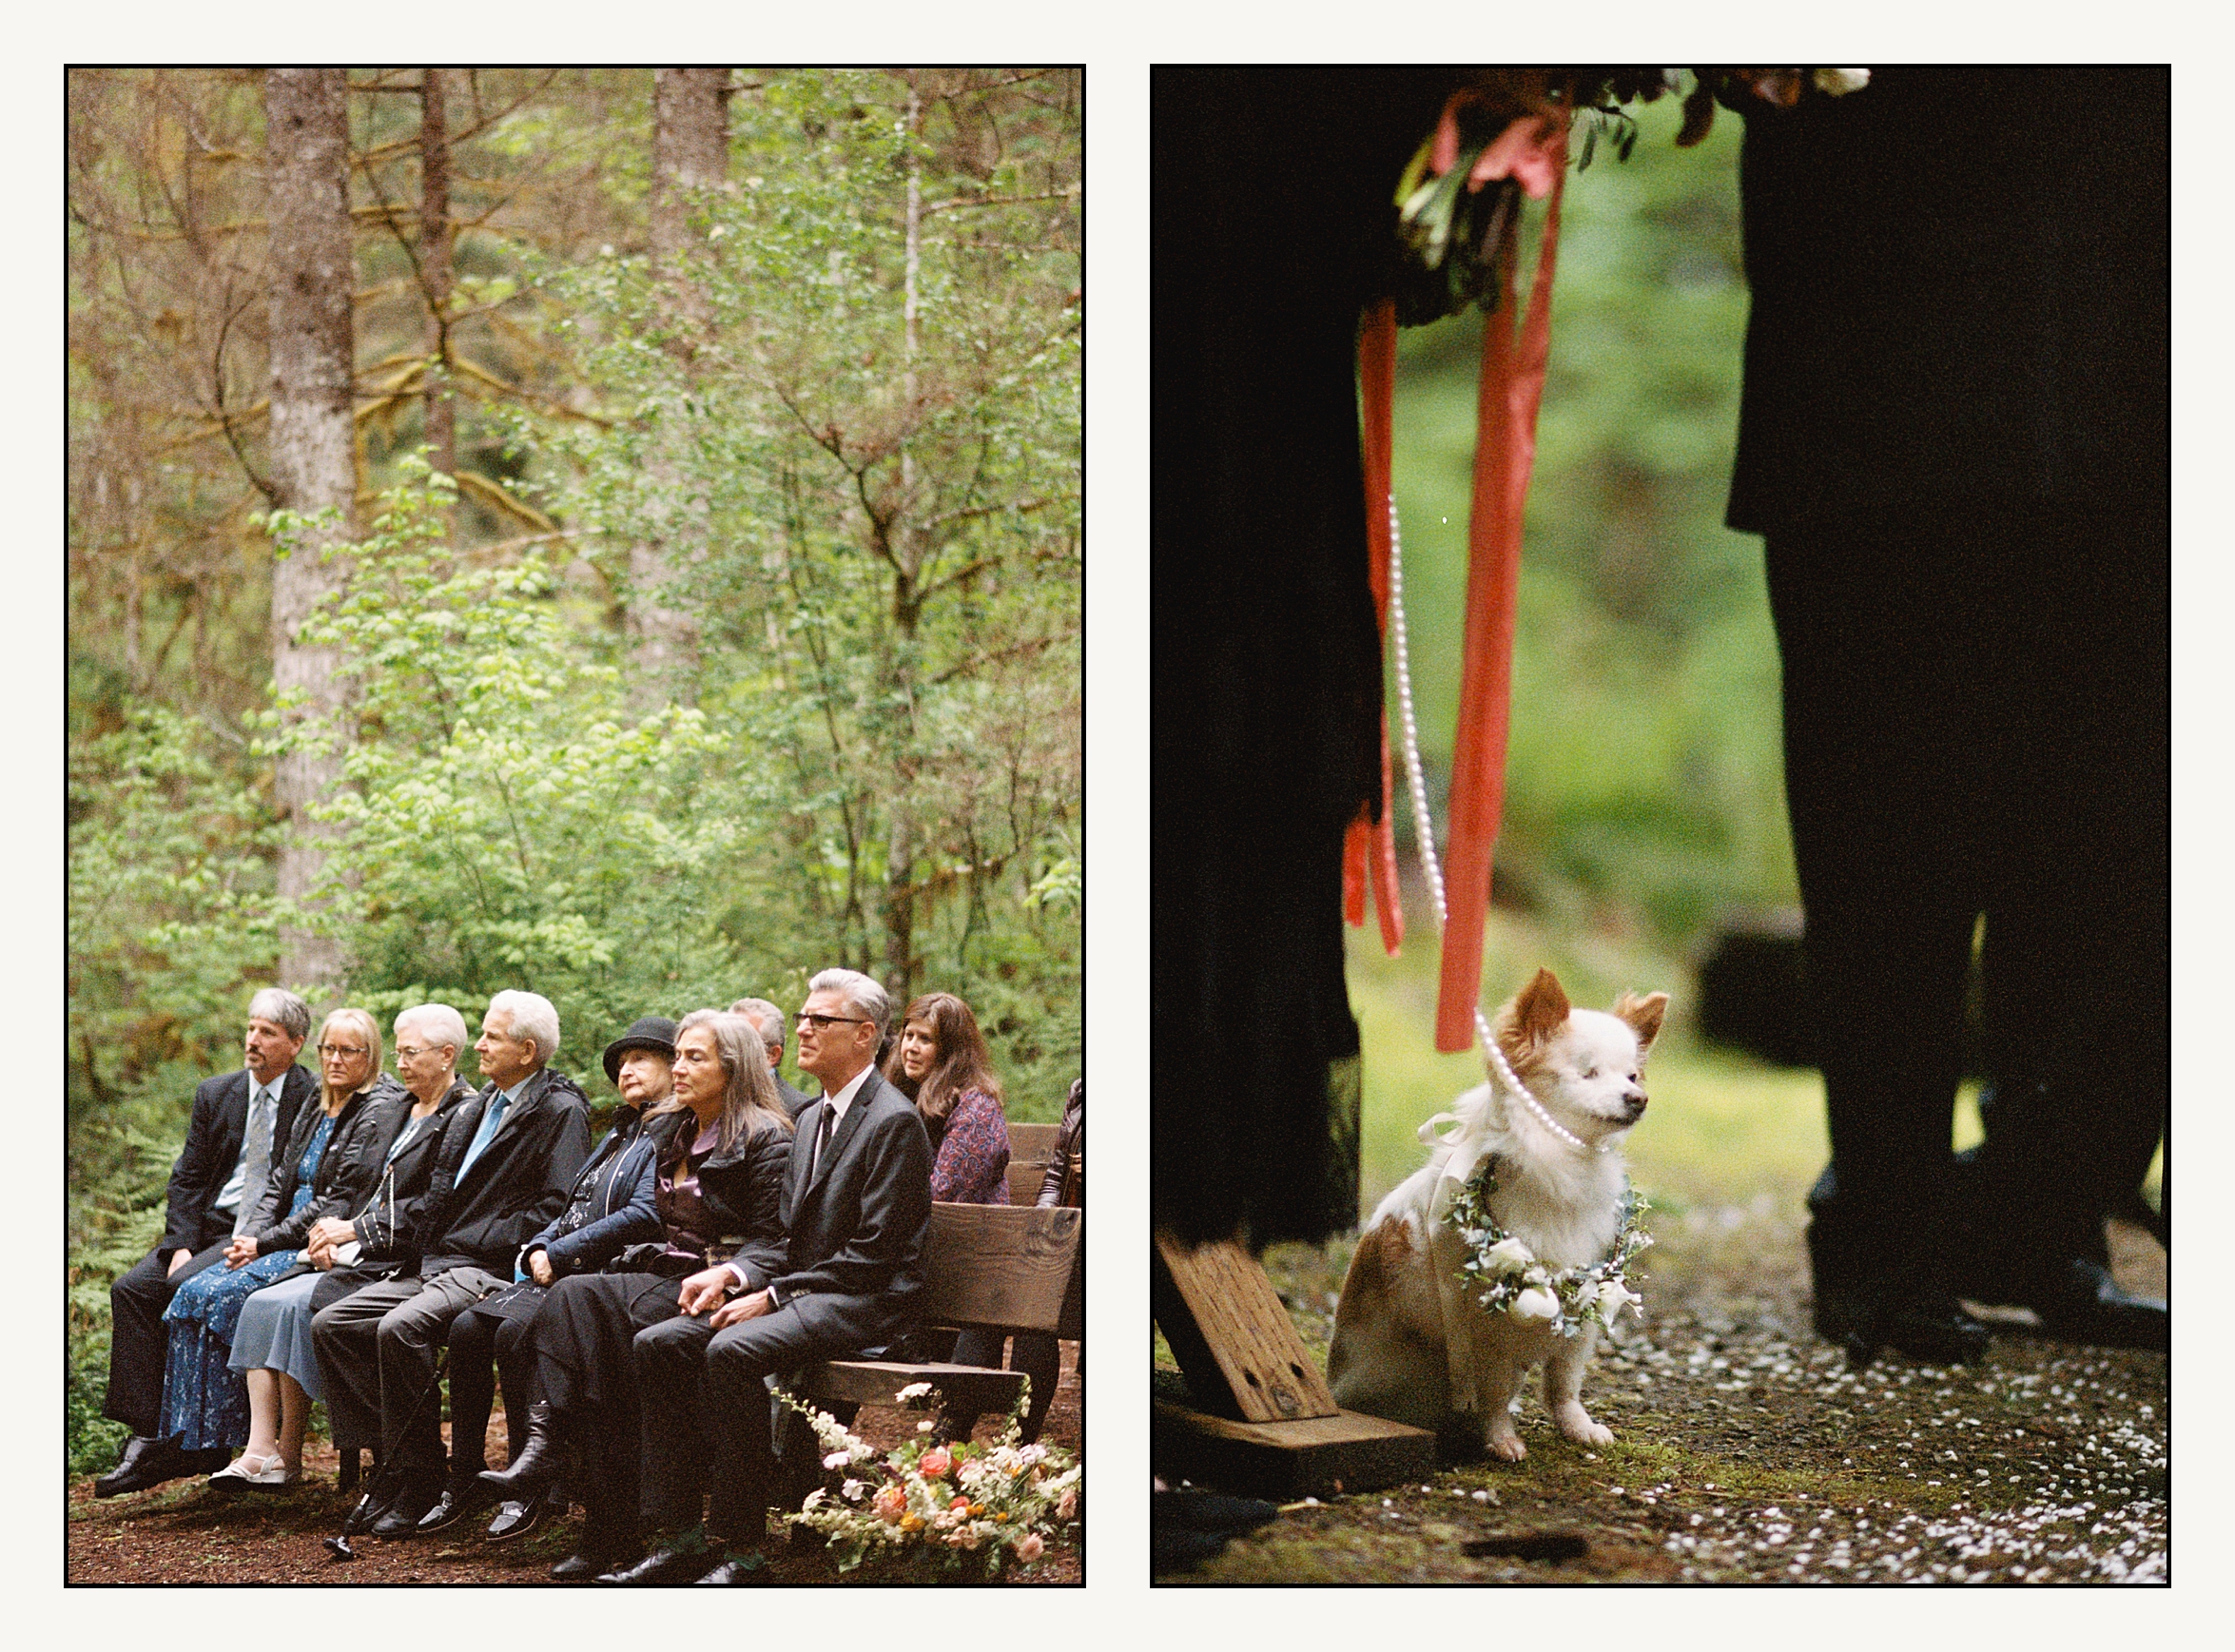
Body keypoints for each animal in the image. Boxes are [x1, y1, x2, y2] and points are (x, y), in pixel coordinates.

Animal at [1323, 970, 1662, 1457]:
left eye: (1632, 1075)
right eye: (1589, 1073)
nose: (1639, 1097)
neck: (1564, 1159)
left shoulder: (1583, 1301)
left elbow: (1564, 1382)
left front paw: (1577, 1426)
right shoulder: (1491, 1328)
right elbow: (1497, 1393)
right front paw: (1502, 1439)